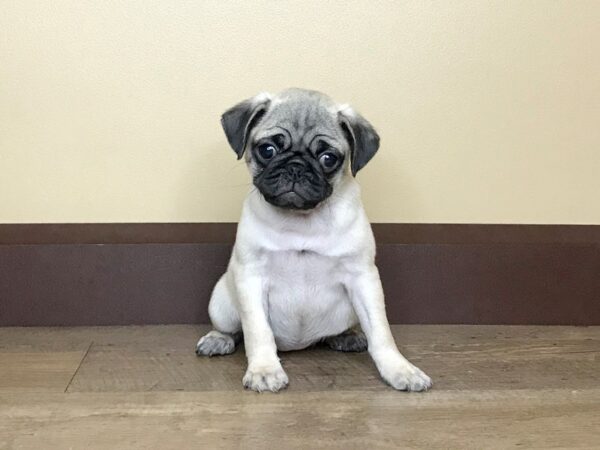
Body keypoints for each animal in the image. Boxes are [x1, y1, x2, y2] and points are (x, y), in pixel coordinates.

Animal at [197, 89, 432, 394]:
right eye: (268, 150)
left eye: (328, 158)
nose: (296, 168)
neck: (302, 220)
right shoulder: (251, 278)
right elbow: (257, 331)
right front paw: (264, 370)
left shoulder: (363, 278)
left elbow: (381, 332)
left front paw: (399, 369)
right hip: (222, 301)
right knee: (233, 329)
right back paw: (219, 339)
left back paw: (347, 336)